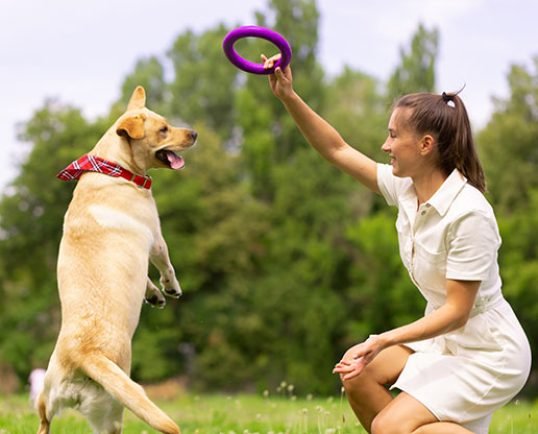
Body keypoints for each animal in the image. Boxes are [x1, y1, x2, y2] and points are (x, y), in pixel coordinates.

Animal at [37, 85, 197, 434]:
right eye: (163, 129)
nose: (194, 133)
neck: (114, 168)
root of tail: (84, 356)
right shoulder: (156, 237)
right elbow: (165, 265)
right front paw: (171, 288)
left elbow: (147, 278)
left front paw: (154, 295)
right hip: (112, 410)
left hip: (45, 395)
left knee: (43, 423)